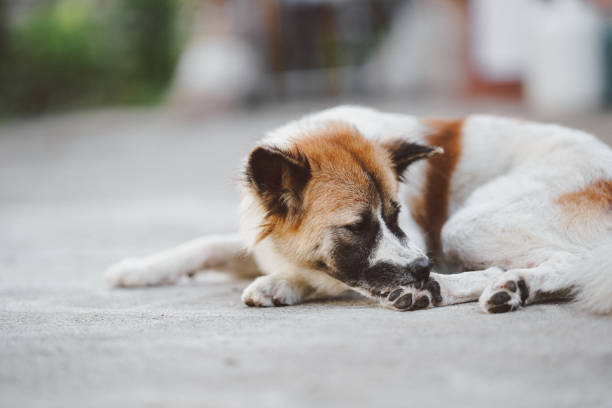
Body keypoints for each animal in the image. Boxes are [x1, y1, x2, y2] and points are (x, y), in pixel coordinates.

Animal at [105, 107, 612, 314]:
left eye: (396, 215)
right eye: (358, 225)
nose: (424, 267)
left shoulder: (416, 242)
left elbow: (331, 278)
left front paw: (279, 284)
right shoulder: (259, 235)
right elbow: (204, 244)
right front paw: (138, 269)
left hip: (465, 225)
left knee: (570, 261)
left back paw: (464, 289)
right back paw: (511, 289)